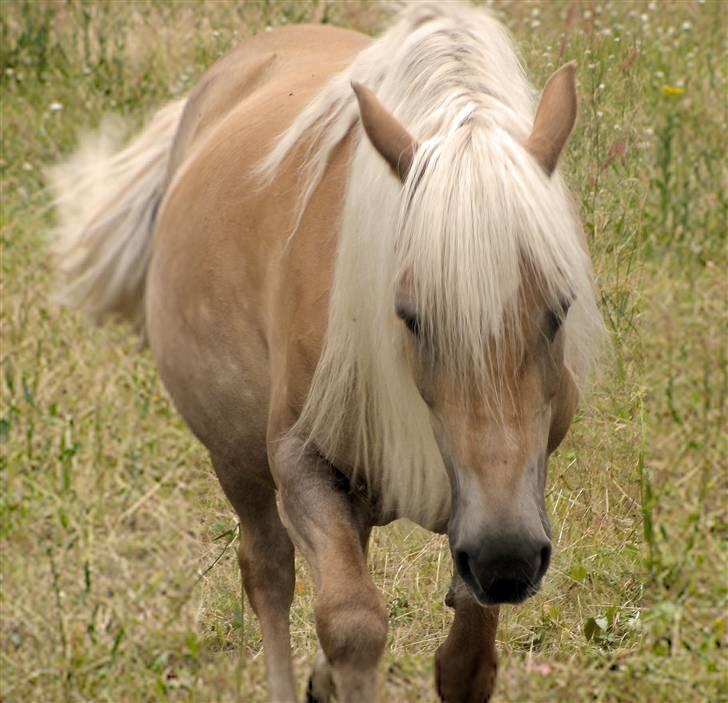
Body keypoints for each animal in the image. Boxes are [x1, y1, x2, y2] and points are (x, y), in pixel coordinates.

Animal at [49, 2, 604, 700]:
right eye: (411, 317)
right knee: (267, 572)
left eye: (560, 307)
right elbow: (352, 624)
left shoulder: (504, 498)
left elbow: (467, 657)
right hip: (238, 460)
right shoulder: (302, 464)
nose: (506, 558)